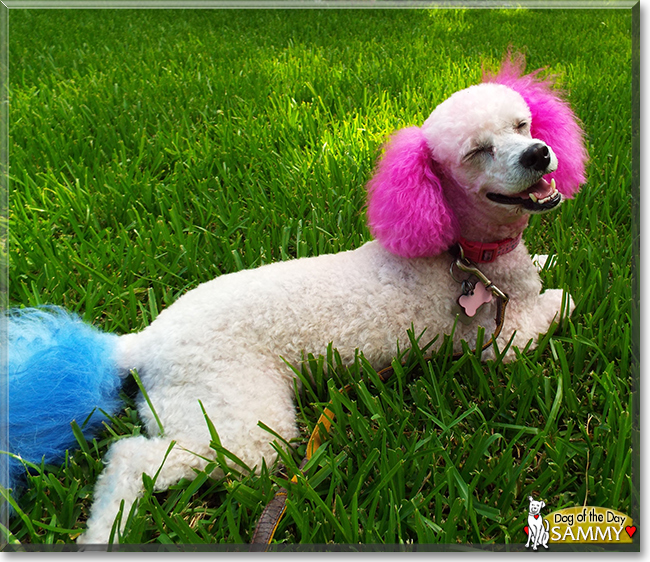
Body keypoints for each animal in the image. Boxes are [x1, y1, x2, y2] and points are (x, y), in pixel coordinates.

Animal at [3, 53, 588, 544]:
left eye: (522, 126)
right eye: (476, 152)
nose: (538, 153)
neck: (463, 252)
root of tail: (141, 343)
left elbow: (538, 270)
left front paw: (545, 261)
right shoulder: (496, 344)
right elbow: (556, 308)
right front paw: (560, 294)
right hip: (241, 430)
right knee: (132, 457)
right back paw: (105, 533)